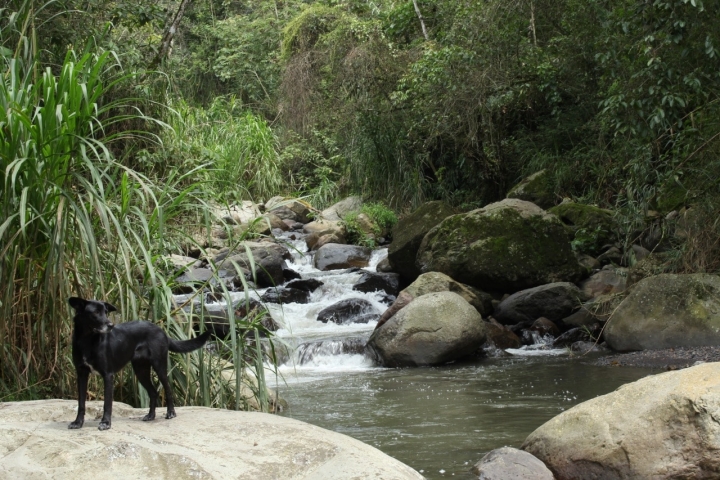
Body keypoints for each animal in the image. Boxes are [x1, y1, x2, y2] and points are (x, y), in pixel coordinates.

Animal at [69, 296, 210, 432]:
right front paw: (78, 422)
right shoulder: (81, 374)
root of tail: (161, 330)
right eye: (95, 312)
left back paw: (170, 413)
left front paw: (105, 423)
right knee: (153, 392)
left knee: (168, 389)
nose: (111, 325)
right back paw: (151, 415)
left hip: (159, 366)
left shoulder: (108, 375)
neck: (88, 340)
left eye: (106, 312)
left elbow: (107, 403)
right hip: (141, 370)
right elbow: (81, 402)